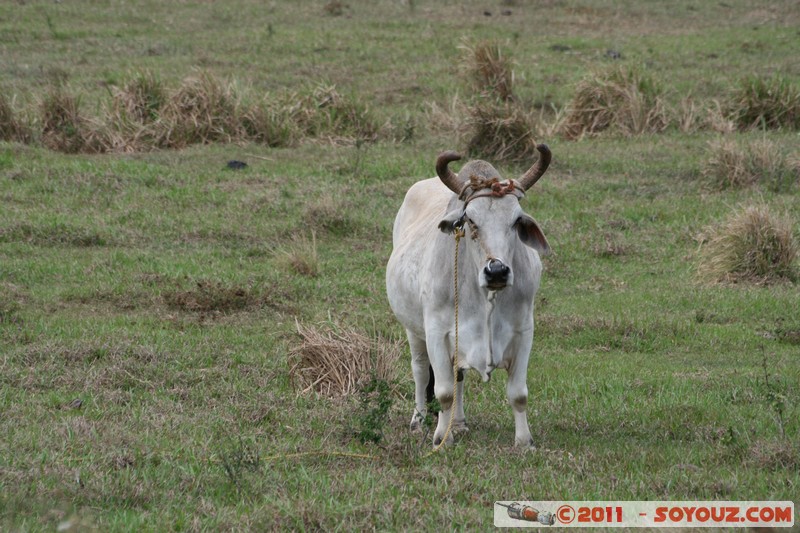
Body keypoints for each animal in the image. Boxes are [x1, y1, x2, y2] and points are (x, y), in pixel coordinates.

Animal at [386, 145, 551, 447]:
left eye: (515, 221)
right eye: (470, 220)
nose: (497, 271)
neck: (485, 296)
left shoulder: (524, 331)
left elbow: (518, 394)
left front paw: (524, 442)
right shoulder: (437, 332)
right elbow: (443, 392)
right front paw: (442, 438)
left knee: (458, 375)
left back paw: (459, 423)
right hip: (413, 329)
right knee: (420, 371)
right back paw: (419, 420)